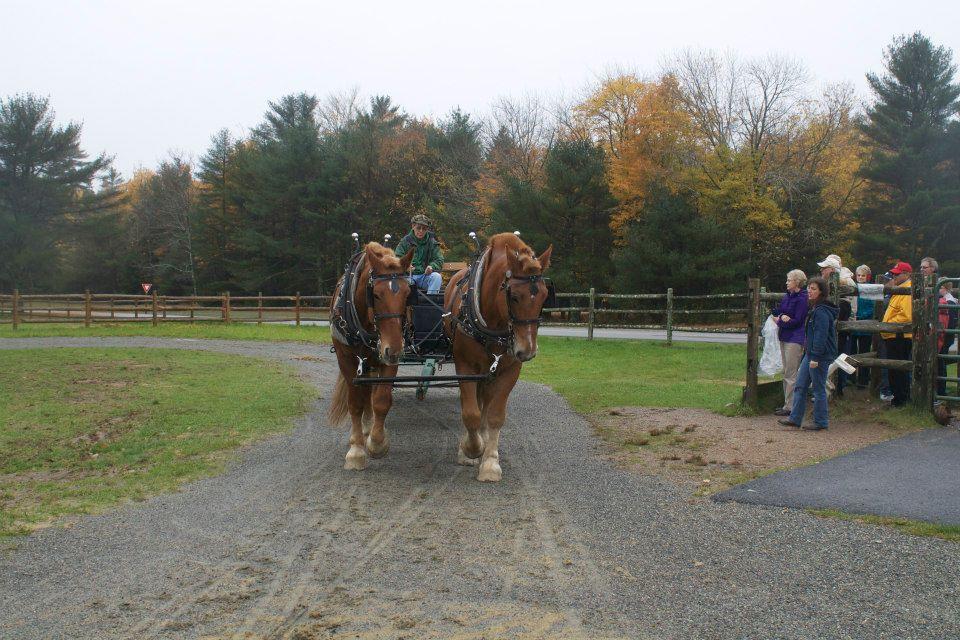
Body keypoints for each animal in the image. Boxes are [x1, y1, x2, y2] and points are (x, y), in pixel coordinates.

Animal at [328, 240, 410, 470]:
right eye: (376, 294)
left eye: (409, 294)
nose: (395, 348)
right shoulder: (347, 361)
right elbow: (355, 403)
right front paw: (356, 450)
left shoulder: (388, 358)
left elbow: (381, 400)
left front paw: (377, 442)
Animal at [444, 232, 556, 482]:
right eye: (513, 296)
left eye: (545, 296)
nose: (527, 350)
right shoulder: (465, 367)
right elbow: (471, 413)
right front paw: (471, 449)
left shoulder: (509, 370)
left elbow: (494, 415)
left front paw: (490, 461)